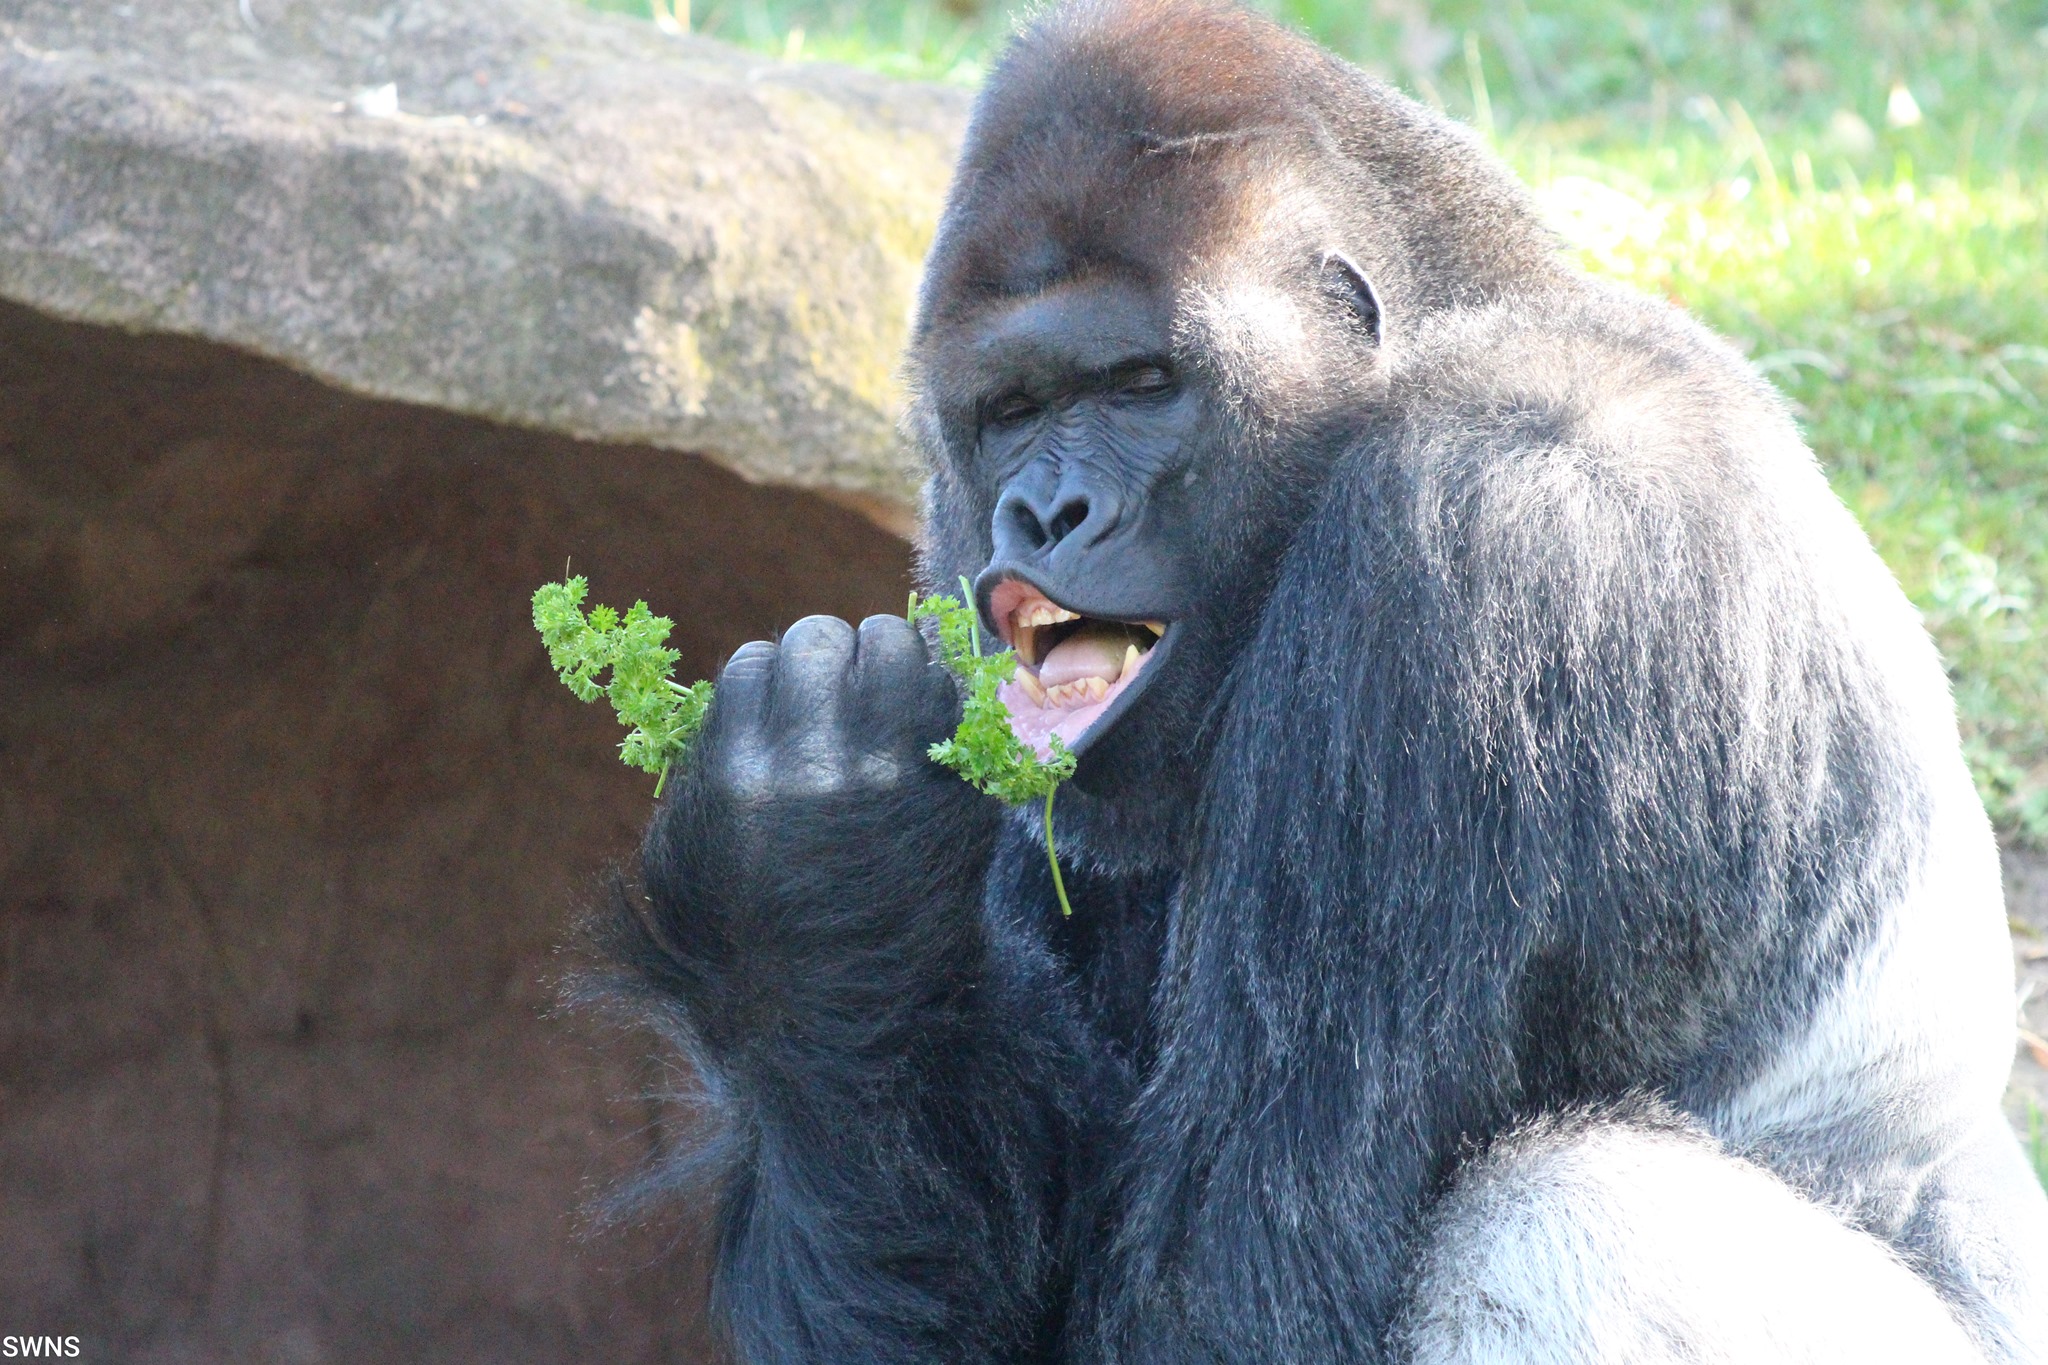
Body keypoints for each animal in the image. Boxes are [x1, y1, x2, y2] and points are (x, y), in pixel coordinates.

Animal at [599, 1, 2048, 1359]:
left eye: (1140, 384)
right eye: (1008, 410)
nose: (1042, 513)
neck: (1457, 323)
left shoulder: (1490, 518)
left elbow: (1230, 1298)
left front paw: (808, 854)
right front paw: (820, 909)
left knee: (1563, 1207)